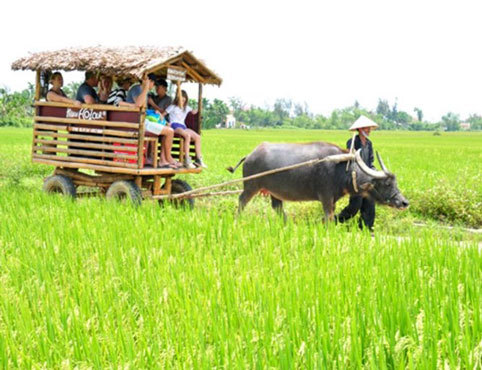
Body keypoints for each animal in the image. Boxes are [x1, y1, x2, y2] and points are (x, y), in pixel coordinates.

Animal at [228, 142, 408, 221]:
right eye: (387, 184)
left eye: (395, 182)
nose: (404, 202)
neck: (344, 169)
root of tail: (250, 155)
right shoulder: (326, 197)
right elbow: (329, 216)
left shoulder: (333, 199)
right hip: (251, 186)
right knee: (242, 200)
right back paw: (237, 220)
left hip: (274, 191)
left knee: (277, 207)